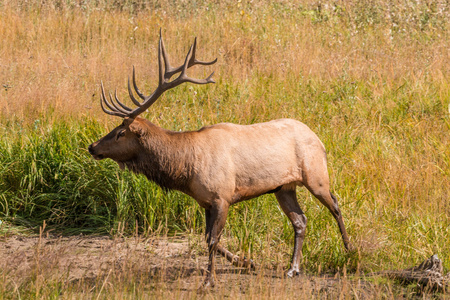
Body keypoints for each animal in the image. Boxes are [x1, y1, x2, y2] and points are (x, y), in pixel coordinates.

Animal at [89, 31, 352, 288]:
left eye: (120, 132)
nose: (92, 147)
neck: (185, 170)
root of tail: (318, 138)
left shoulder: (222, 196)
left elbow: (213, 240)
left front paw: (209, 280)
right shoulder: (205, 201)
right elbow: (208, 237)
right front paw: (247, 262)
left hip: (316, 175)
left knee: (335, 204)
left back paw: (350, 251)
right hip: (283, 187)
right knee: (300, 220)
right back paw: (293, 268)